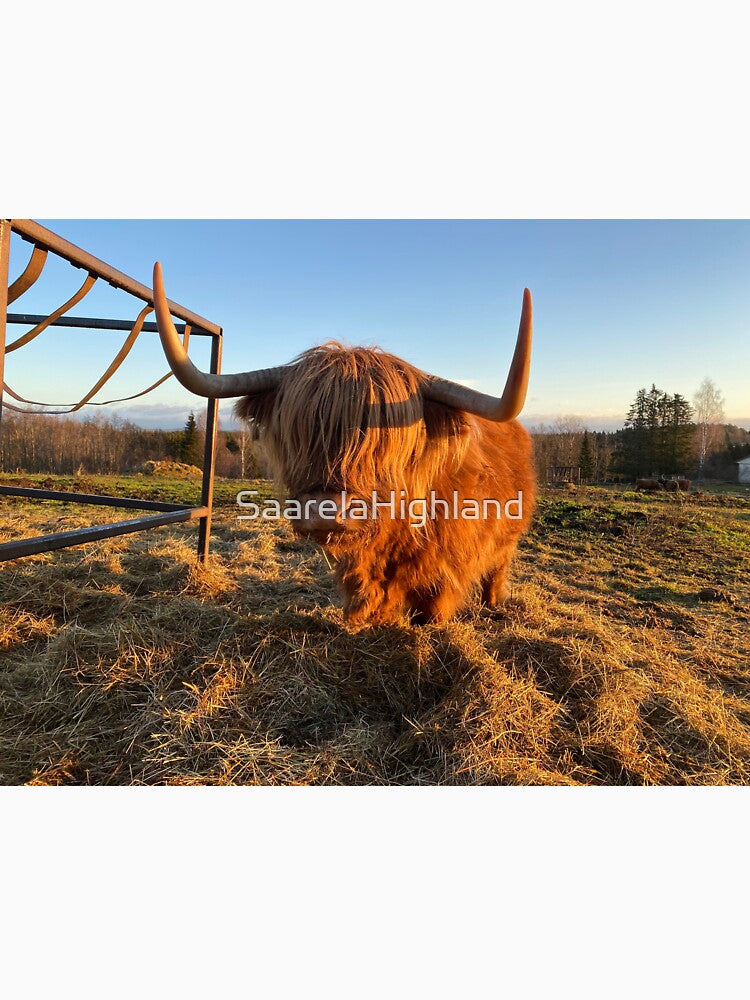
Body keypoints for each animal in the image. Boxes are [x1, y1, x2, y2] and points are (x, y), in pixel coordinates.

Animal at [152, 263, 536, 626]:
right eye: (297, 432)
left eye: (385, 443)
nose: (324, 511)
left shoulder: (445, 569)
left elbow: (433, 608)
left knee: (497, 568)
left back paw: (493, 603)